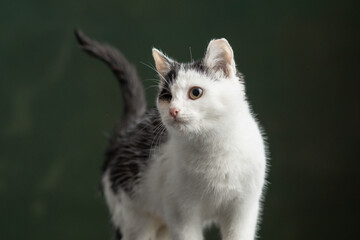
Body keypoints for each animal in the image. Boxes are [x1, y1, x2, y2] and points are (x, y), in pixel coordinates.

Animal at [76, 30, 268, 240]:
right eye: (166, 96)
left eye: (195, 92)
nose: (173, 110)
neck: (214, 148)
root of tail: (125, 133)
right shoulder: (182, 215)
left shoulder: (244, 209)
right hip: (134, 219)